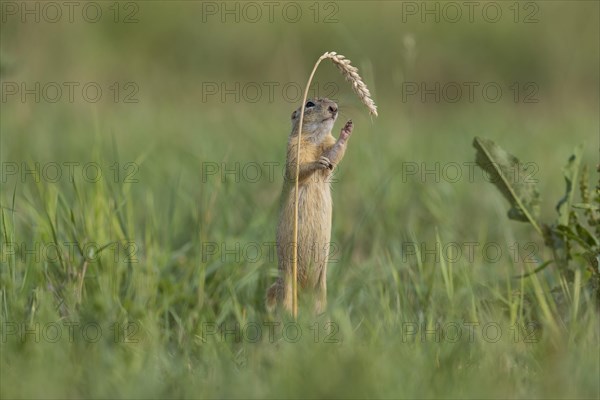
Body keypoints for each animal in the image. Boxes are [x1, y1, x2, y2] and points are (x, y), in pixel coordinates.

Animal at [266, 98, 352, 314]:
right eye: (310, 103)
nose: (334, 108)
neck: (315, 139)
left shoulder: (327, 144)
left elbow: (333, 156)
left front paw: (346, 131)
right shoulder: (294, 147)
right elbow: (297, 168)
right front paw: (317, 162)